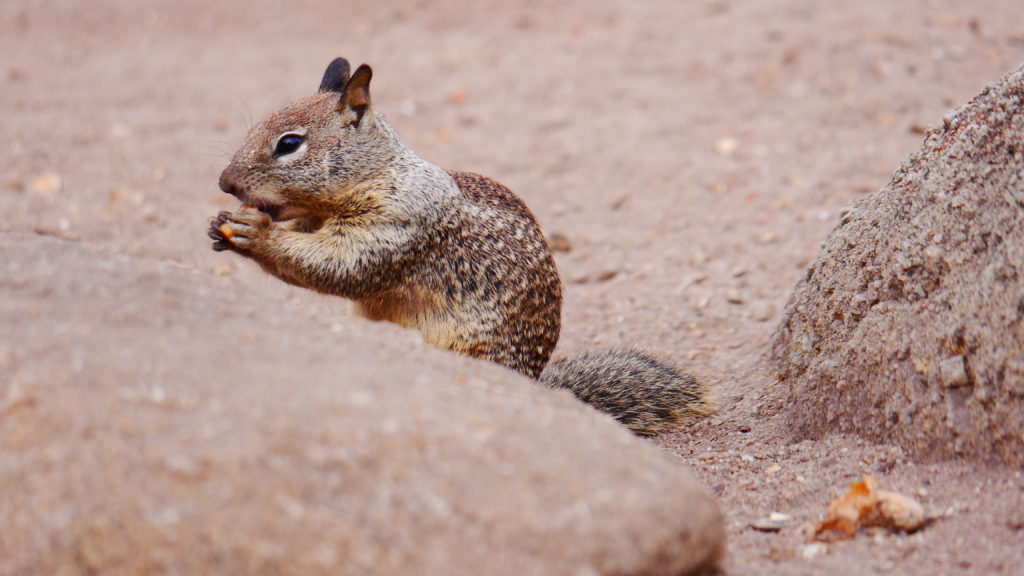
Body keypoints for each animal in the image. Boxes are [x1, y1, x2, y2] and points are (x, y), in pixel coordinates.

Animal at [207, 58, 712, 434]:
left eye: (289, 143)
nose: (224, 183)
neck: (379, 174)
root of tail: (537, 387)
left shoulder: (400, 223)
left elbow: (340, 264)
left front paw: (258, 235)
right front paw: (220, 228)